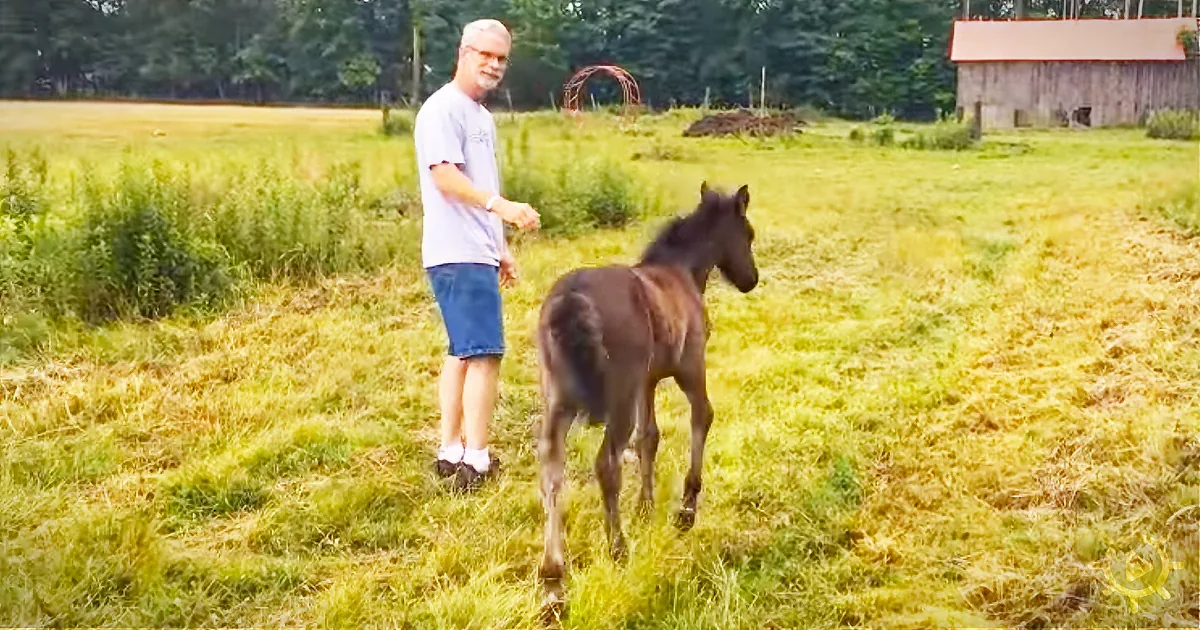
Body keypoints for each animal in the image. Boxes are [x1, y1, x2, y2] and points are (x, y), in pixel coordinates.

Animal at [532, 181, 760, 617]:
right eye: (749, 235)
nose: (751, 279)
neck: (681, 273)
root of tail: (570, 298)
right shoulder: (689, 367)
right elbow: (702, 416)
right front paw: (685, 510)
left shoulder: (648, 382)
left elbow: (649, 438)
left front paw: (645, 507)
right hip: (618, 395)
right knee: (606, 463)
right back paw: (618, 549)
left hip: (558, 398)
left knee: (552, 466)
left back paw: (553, 577)